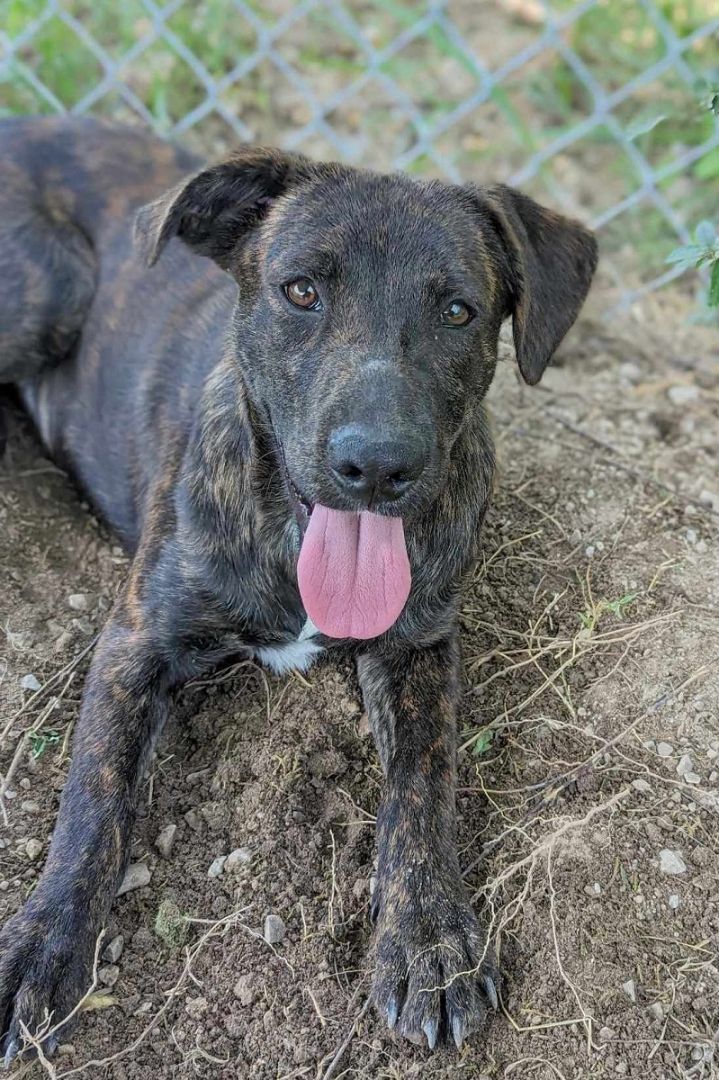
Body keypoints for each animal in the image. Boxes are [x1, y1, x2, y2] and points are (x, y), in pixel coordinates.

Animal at [0, 116, 591, 1054]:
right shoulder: (137, 639)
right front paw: (46, 941)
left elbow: (423, 785)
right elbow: (93, 800)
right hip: (51, 286)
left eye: (457, 310)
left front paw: (426, 937)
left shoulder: (420, 646)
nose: (375, 466)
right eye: (301, 291)